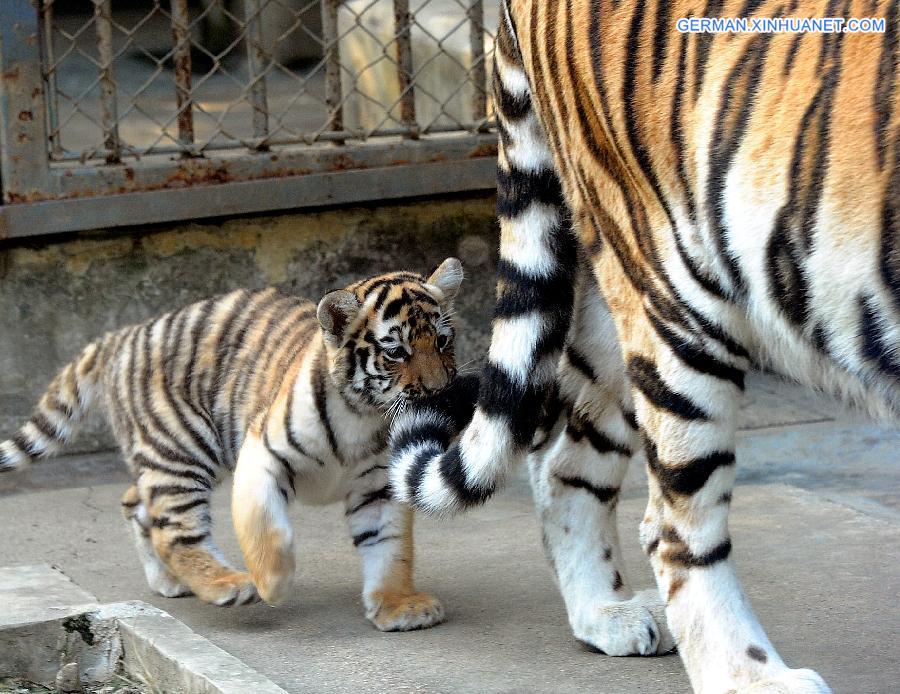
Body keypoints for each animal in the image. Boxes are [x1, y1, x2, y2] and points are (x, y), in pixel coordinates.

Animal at [390, 1, 896, 694]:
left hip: (619, 309)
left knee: (563, 464)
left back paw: (606, 613)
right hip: (677, 297)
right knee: (674, 527)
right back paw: (751, 676)